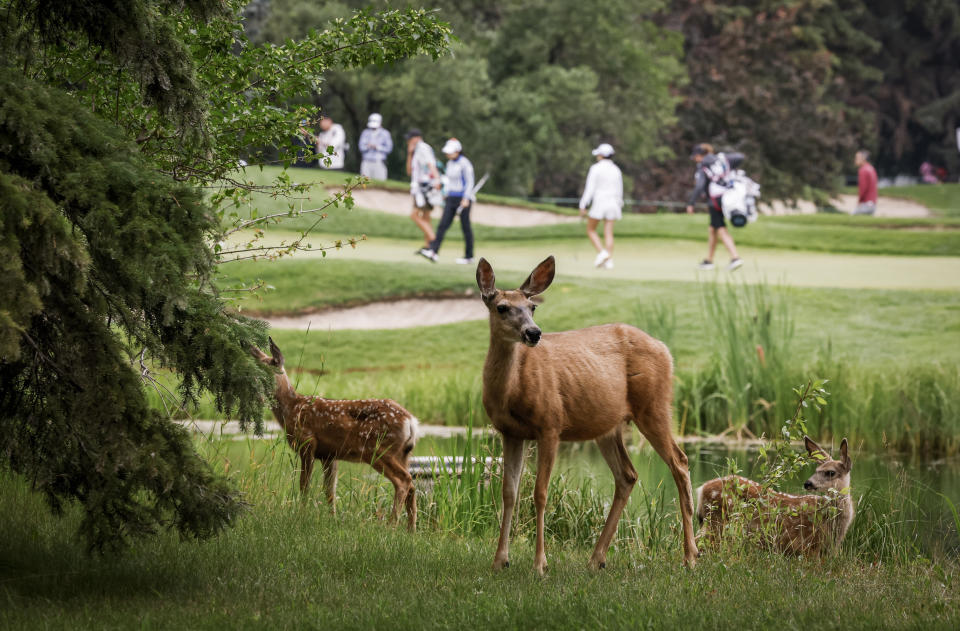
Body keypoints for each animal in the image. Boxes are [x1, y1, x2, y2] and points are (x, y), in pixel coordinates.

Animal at [253, 338, 418, 532]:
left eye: (264, 371)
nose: (254, 391)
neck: (292, 408)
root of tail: (411, 422)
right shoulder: (329, 455)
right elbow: (329, 490)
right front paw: (333, 519)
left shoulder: (307, 443)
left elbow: (304, 485)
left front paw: (300, 515)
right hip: (403, 454)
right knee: (412, 485)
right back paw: (411, 530)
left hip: (378, 450)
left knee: (403, 481)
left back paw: (391, 526)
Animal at [478, 254, 696, 576]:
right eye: (502, 307)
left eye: (532, 307)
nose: (534, 333)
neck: (512, 389)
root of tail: (666, 350)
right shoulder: (510, 432)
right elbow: (509, 492)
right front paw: (499, 560)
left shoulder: (550, 424)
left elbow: (540, 493)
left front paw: (540, 564)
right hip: (607, 426)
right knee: (627, 475)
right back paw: (597, 559)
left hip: (654, 405)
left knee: (679, 462)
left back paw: (691, 556)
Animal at [696, 436, 856, 556]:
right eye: (816, 470)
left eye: (830, 472)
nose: (807, 483)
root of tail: (702, 488)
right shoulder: (809, 546)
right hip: (718, 521)